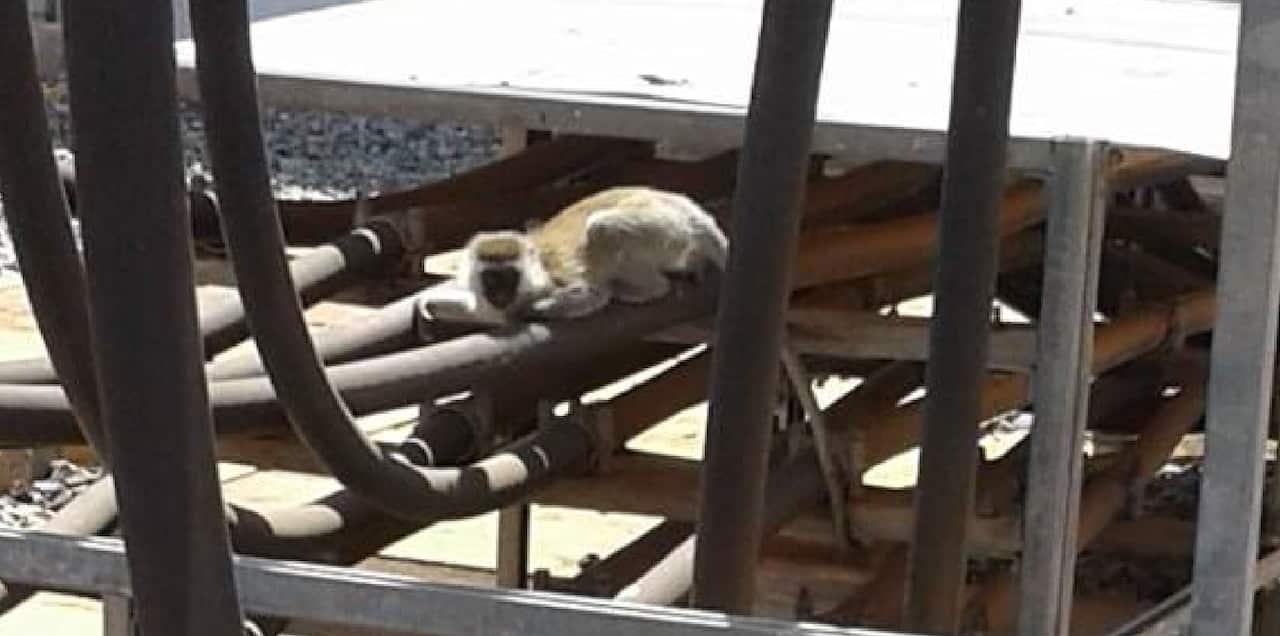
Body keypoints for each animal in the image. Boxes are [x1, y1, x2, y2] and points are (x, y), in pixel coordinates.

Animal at [432, 186, 728, 324]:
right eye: (491, 279)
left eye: (509, 277)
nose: (500, 294)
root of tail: (674, 200)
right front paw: (429, 306)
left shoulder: (554, 279)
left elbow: (593, 295)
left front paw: (534, 310)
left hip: (665, 226)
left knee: (603, 227)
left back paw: (647, 288)